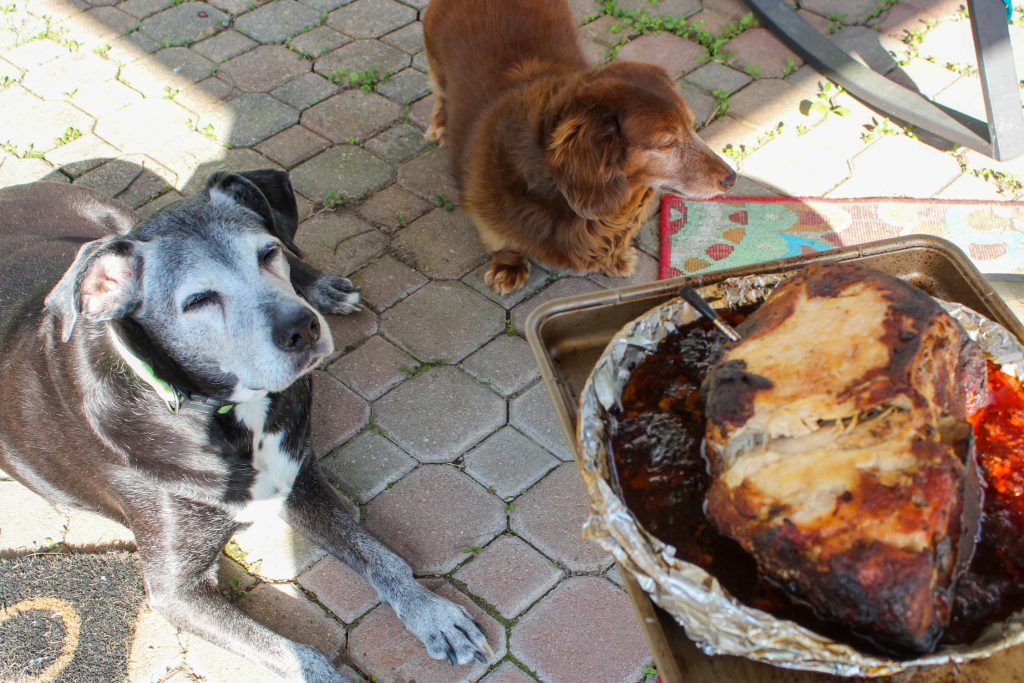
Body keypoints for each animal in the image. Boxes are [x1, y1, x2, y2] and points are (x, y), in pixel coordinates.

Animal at [0, 169, 491, 679]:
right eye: (198, 300)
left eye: (266, 254)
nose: (303, 329)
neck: (225, 412)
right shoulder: (175, 591)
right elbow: (296, 655)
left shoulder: (298, 480)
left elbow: (381, 557)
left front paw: (432, 612)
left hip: (115, 219)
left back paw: (324, 287)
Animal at [421, 0, 737, 292]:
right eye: (668, 141)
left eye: (692, 125)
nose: (732, 178)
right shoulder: (484, 207)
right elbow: (501, 240)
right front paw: (508, 267)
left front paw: (617, 258)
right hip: (435, 56)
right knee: (440, 91)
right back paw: (440, 124)